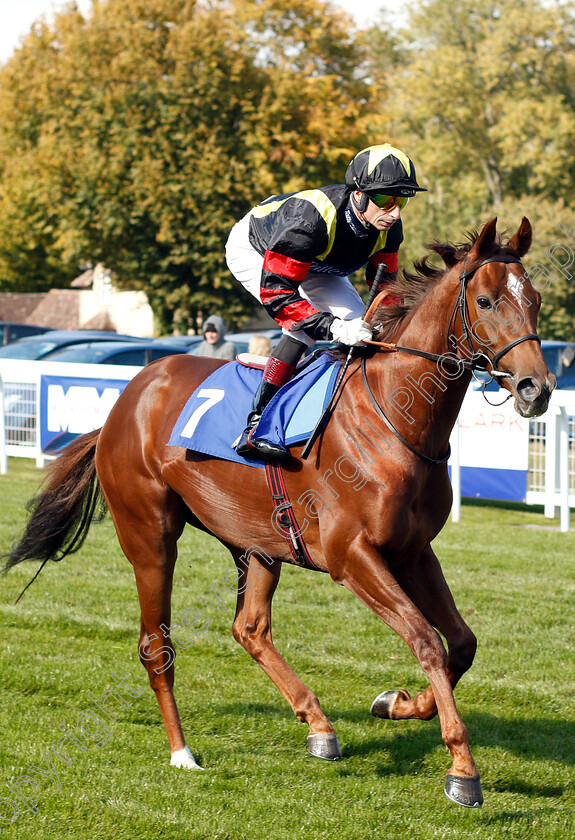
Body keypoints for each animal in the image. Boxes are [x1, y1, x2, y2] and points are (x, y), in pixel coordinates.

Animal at [3, 218, 552, 808]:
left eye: (536, 300)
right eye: (486, 300)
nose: (537, 389)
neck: (393, 416)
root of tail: (127, 399)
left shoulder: (412, 551)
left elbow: (462, 644)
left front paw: (397, 703)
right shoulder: (351, 556)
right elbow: (426, 639)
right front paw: (462, 769)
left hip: (257, 542)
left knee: (249, 628)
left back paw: (319, 726)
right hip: (149, 535)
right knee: (156, 646)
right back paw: (182, 752)